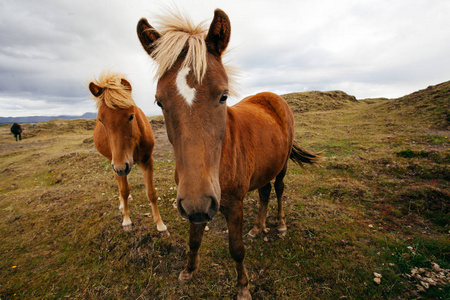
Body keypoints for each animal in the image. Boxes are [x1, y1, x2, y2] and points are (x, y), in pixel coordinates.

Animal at [88, 72, 167, 234]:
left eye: (131, 116)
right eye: (101, 120)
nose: (120, 167)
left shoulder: (147, 161)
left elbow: (151, 193)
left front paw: (160, 224)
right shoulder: (118, 164)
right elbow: (124, 190)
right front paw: (126, 220)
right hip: (113, 162)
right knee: (119, 183)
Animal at [136, 8, 320, 298]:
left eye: (223, 95)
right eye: (159, 102)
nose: (200, 202)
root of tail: (273, 97)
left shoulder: (232, 205)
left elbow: (236, 249)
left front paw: (243, 287)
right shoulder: (193, 203)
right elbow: (194, 239)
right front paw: (188, 271)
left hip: (281, 166)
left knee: (279, 189)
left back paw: (279, 225)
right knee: (265, 192)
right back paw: (257, 228)